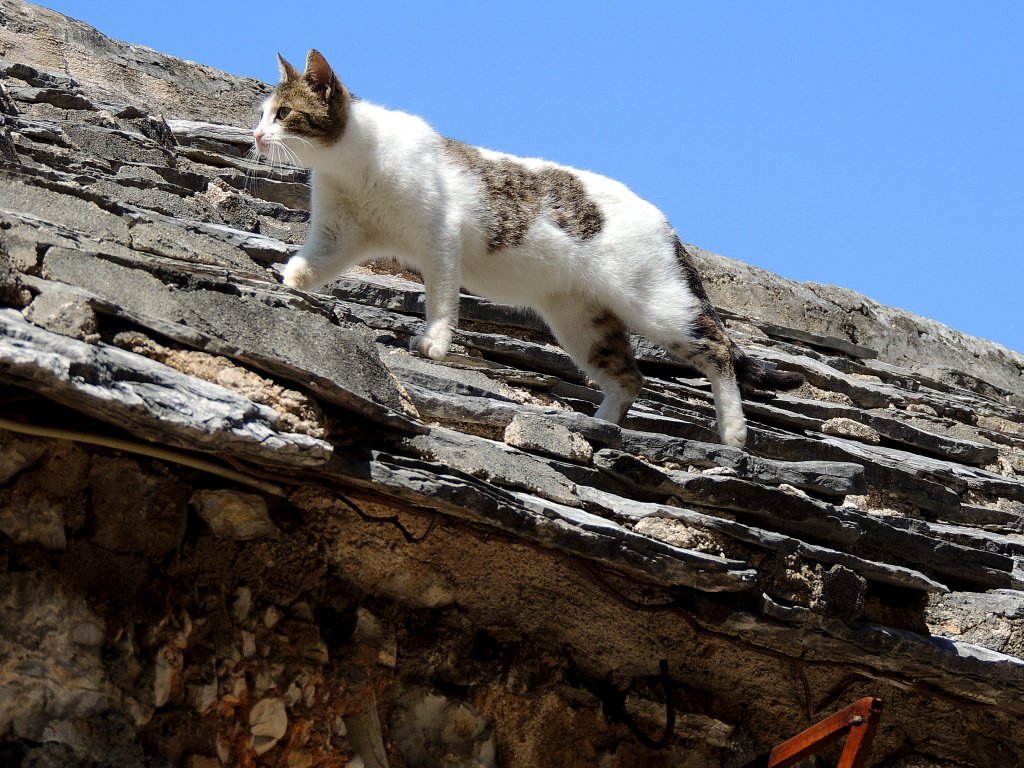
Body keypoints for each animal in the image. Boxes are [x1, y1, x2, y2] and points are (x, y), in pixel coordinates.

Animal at [251, 51, 802, 448]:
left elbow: (442, 300)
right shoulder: (339, 235)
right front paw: (288, 280)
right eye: (262, 114)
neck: (351, 168)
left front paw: (433, 344)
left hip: (656, 304)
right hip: (582, 322)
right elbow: (310, 263)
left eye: (285, 113)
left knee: (717, 349)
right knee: (630, 378)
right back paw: (600, 426)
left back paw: (733, 432)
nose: (256, 135)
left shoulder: (439, 239)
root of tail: (667, 224)